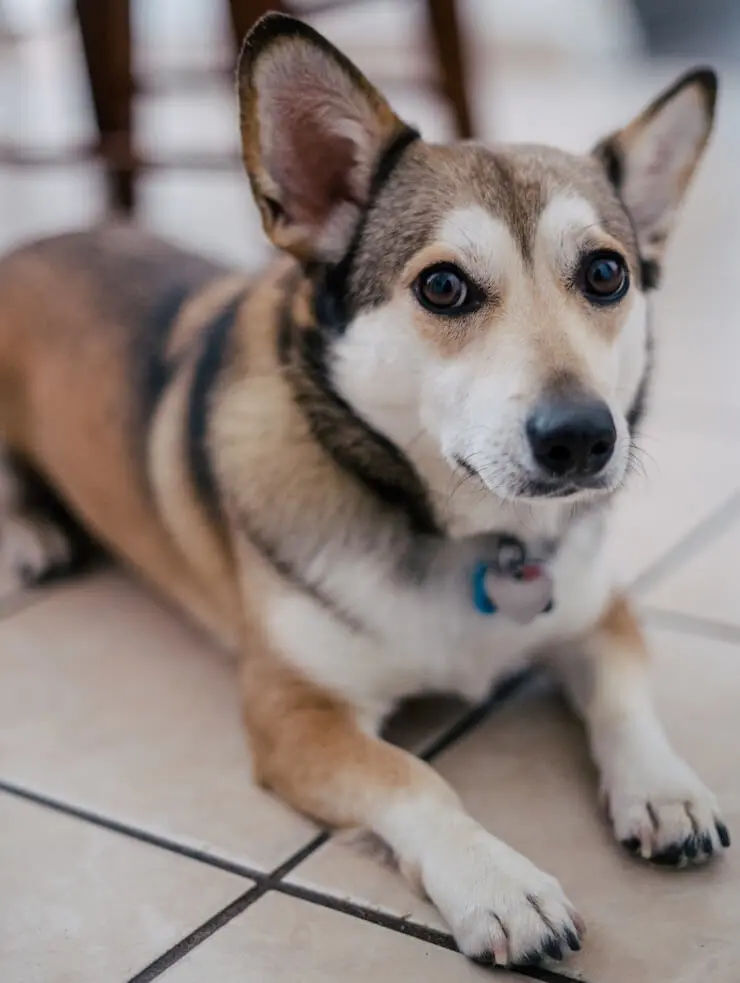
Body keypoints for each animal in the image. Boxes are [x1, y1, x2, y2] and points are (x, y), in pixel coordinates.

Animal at [0, 13, 728, 968]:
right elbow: (411, 777)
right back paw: (30, 532)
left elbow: (624, 697)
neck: (472, 539)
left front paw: (666, 786)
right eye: (444, 285)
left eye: (607, 273)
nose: (582, 436)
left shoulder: (598, 610)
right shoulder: (295, 713)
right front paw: (499, 883)